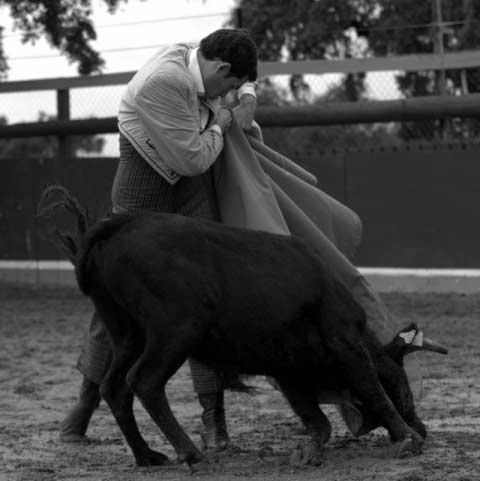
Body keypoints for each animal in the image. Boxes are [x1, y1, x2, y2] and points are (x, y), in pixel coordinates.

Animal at [37, 187, 446, 468]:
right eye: (401, 380)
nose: (423, 427)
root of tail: (120, 225)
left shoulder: (288, 368)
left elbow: (315, 417)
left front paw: (309, 451)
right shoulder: (344, 344)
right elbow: (371, 387)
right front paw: (407, 437)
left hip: (127, 333)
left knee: (114, 386)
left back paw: (147, 455)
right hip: (176, 332)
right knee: (145, 382)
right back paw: (191, 453)